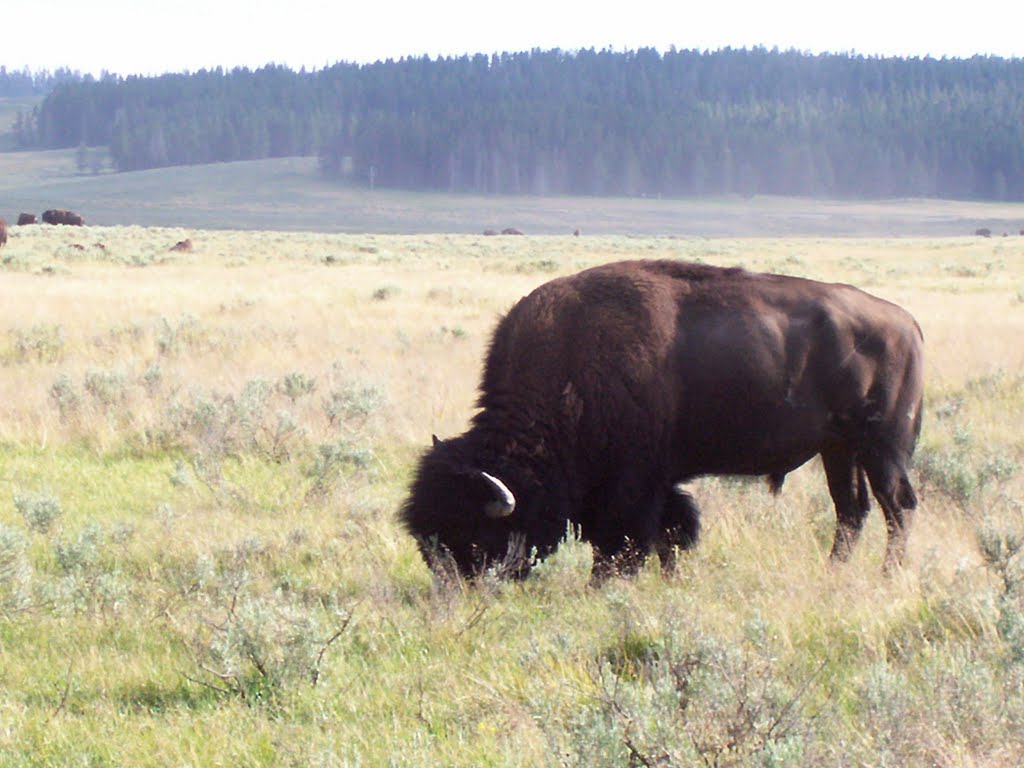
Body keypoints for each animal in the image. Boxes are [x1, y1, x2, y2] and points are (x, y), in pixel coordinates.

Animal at [401, 262, 929, 581]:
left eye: (471, 533)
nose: (452, 590)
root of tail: (906, 322)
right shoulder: (658, 483)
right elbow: (672, 532)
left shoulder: (632, 487)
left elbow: (624, 544)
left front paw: (606, 586)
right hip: (838, 448)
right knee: (851, 510)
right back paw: (833, 574)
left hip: (881, 447)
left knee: (897, 506)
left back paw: (889, 576)